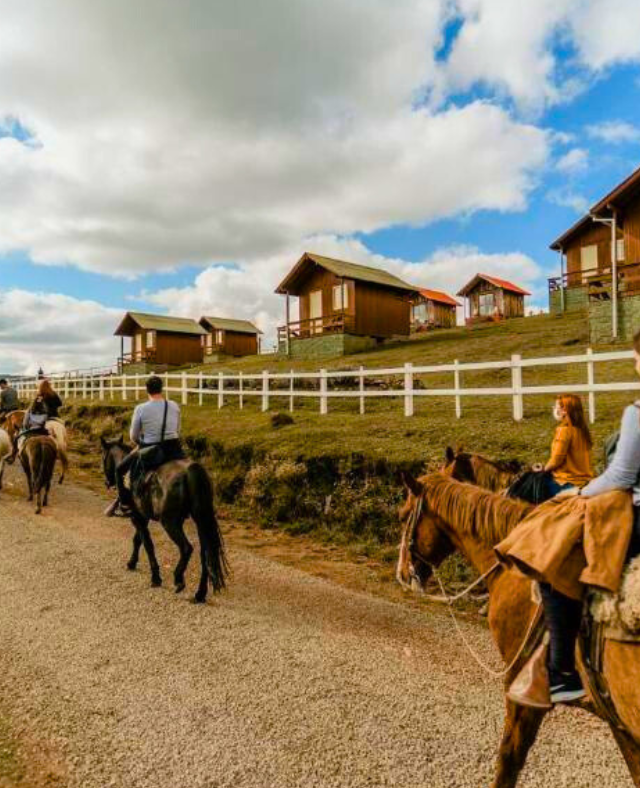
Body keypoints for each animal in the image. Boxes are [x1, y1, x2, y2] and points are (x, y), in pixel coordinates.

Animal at [100, 436, 228, 603]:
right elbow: (138, 540)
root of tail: (192, 472)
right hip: (200, 521)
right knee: (205, 554)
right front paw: (132, 563)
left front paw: (155, 577)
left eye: (103, 457)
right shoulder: (143, 517)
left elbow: (147, 544)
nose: (107, 483)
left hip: (170, 522)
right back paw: (200, 593)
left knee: (186, 548)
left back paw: (178, 579)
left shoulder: (137, 517)